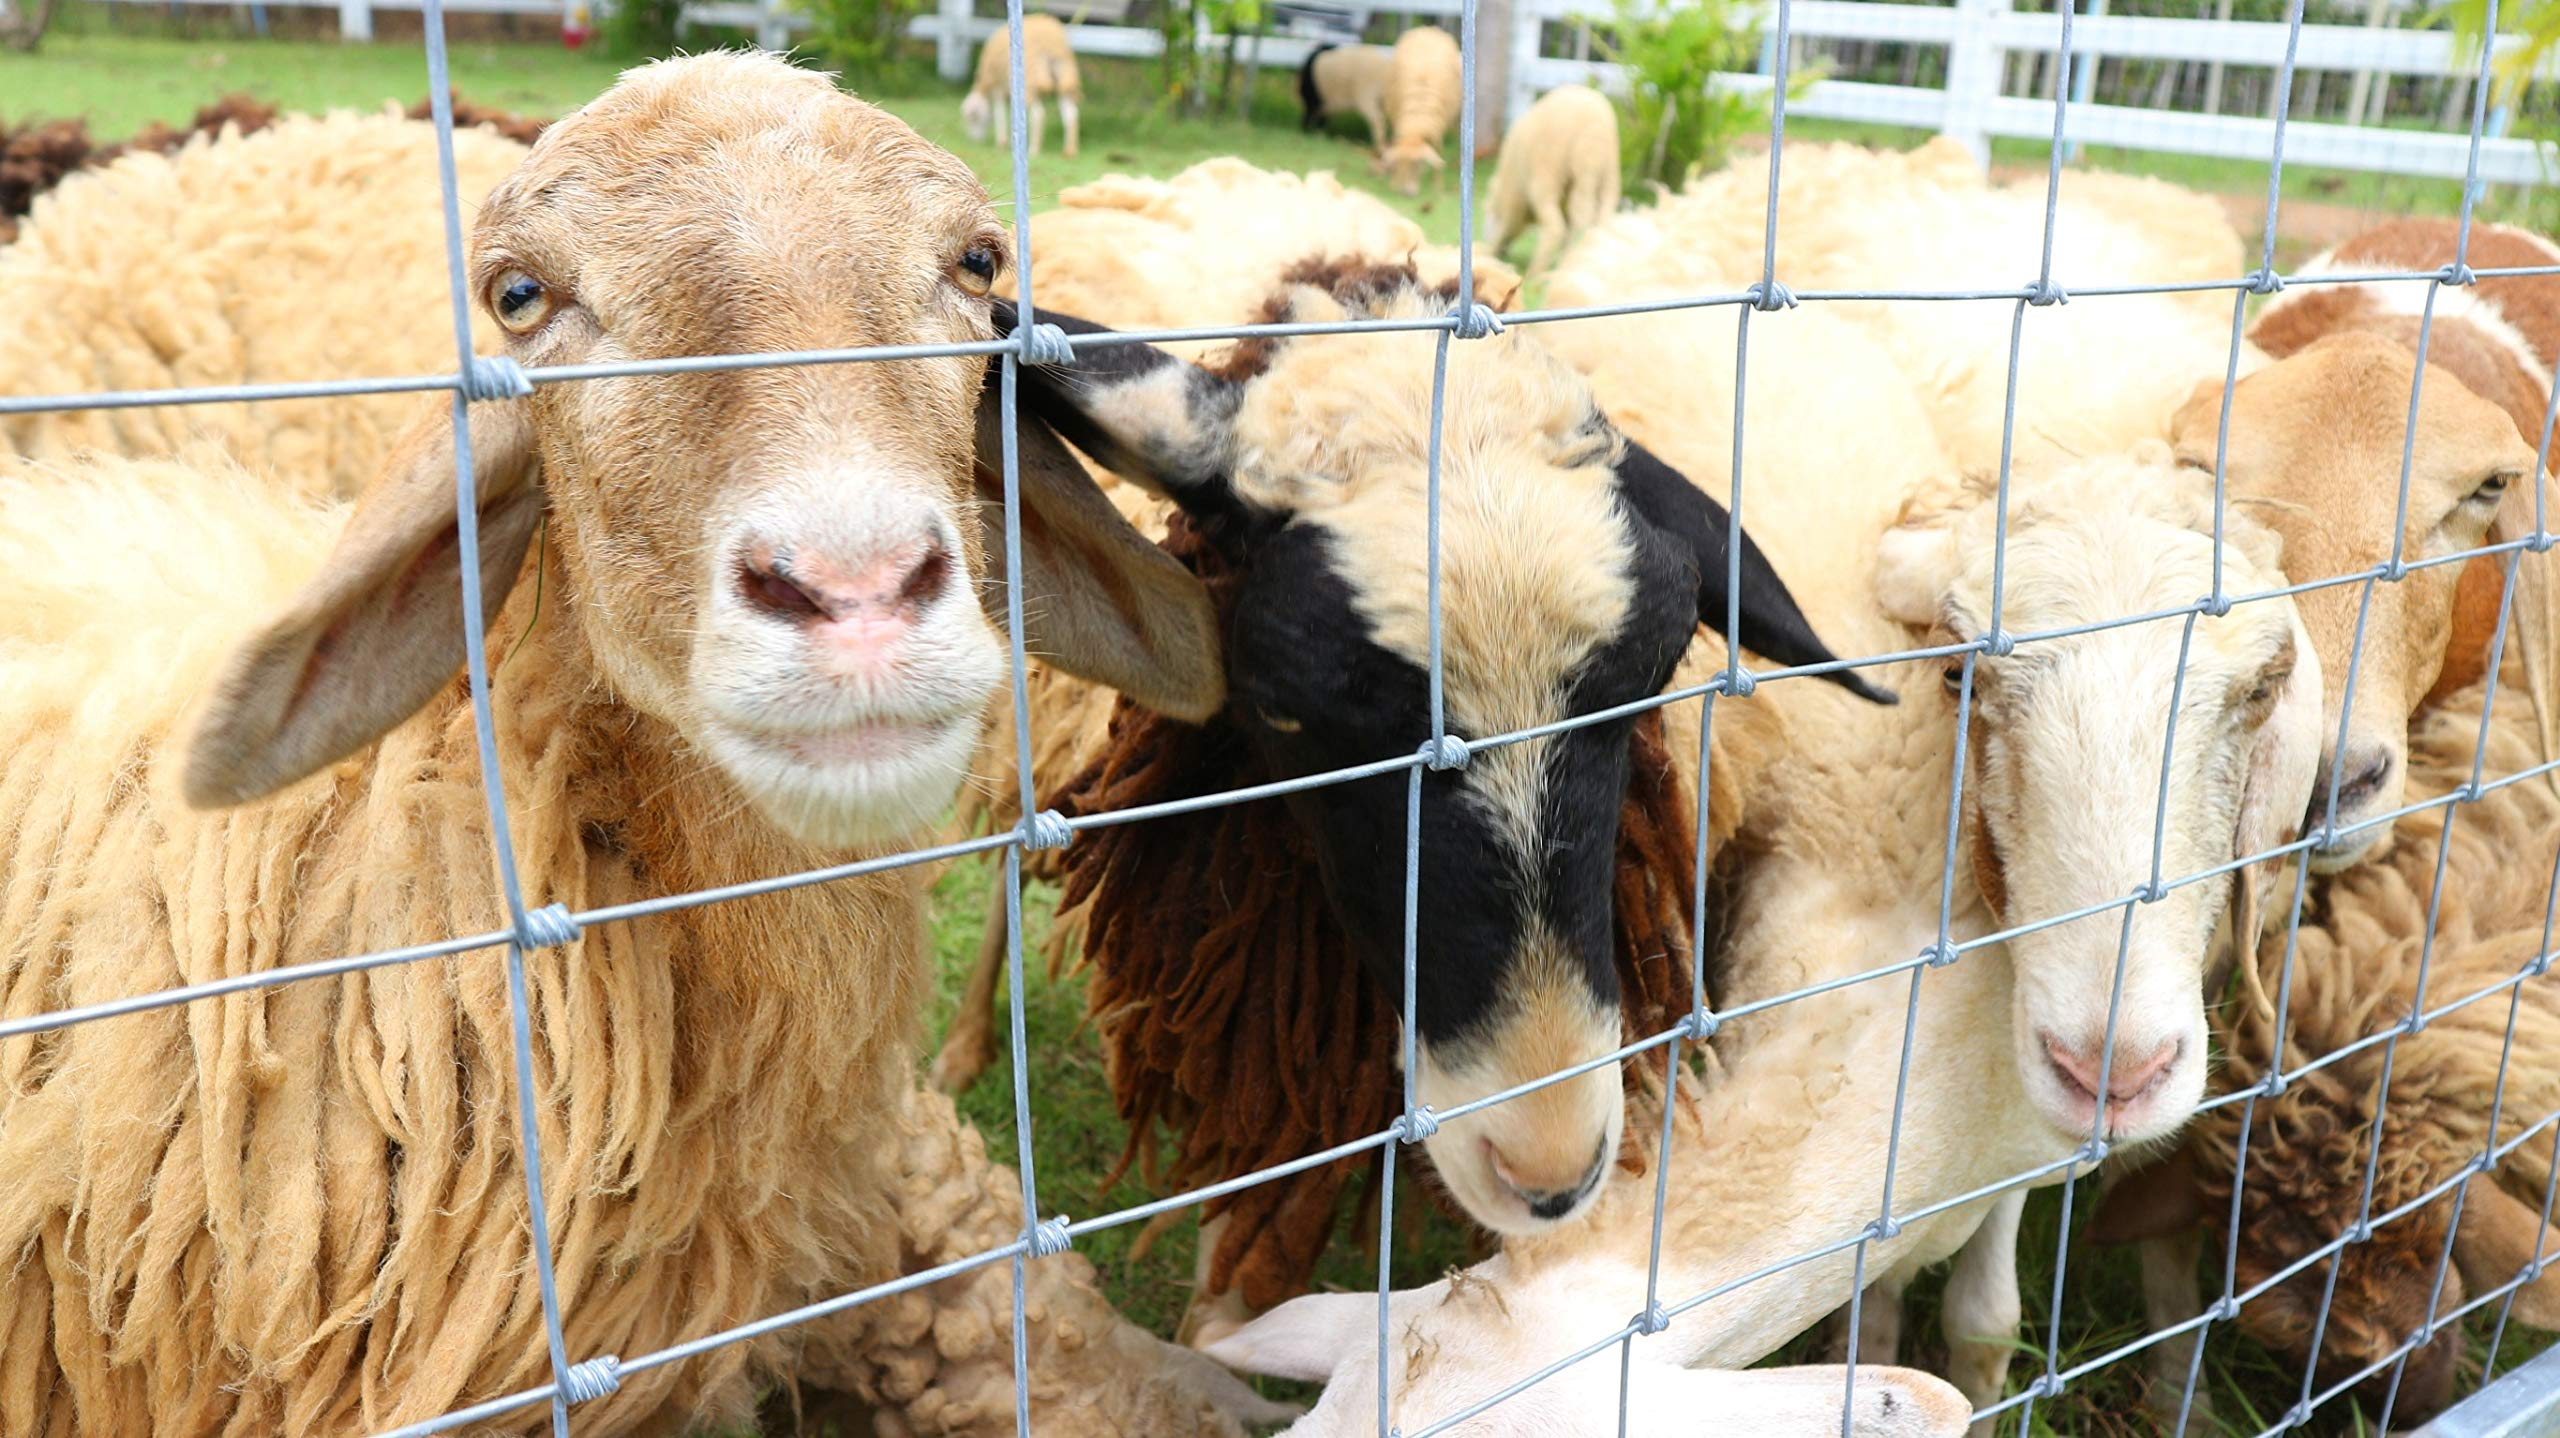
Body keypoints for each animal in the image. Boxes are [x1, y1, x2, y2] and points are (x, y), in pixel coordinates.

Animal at [961, 14, 1081, 160]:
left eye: (973, 117)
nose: (973, 140)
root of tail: (1050, 45)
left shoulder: (998, 87)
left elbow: (999, 112)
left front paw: (1001, 142)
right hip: (1065, 77)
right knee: (1071, 114)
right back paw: (1070, 151)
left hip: (1030, 82)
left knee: (1038, 114)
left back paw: (1034, 149)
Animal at [1380, 24, 1463, 196]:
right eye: (1398, 163)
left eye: (1418, 164)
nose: (1406, 193)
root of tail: (1428, 28)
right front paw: (1392, 181)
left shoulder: (1438, 127)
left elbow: (1438, 150)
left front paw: (1437, 187)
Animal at [1485, 84, 1620, 281]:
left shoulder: (1514, 199)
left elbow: (1505, 226)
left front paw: (1489, 254)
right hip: (1607, 178)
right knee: (1598, 223)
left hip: (1548, 177)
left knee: (1556, 227)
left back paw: (1537, 274)